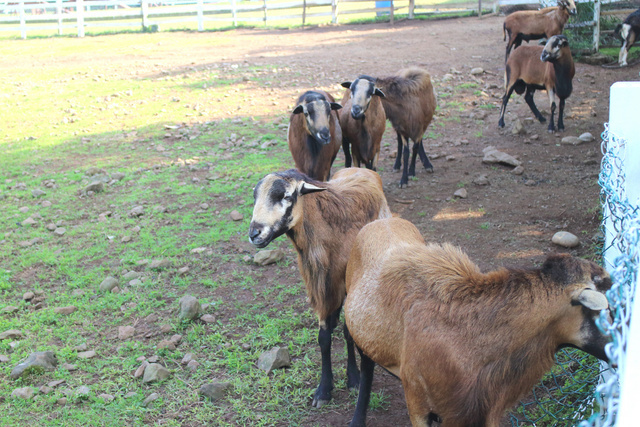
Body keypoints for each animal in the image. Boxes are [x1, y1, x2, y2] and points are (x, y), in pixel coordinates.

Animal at [249, 166, 390, 408]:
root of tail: (359, 168)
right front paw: (324, 390)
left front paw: (354, 379)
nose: (254, 233)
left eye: (286, 196)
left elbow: (348, 333)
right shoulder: (320, 286)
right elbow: (323, 338)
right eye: (255, 196)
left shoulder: (345, 284)